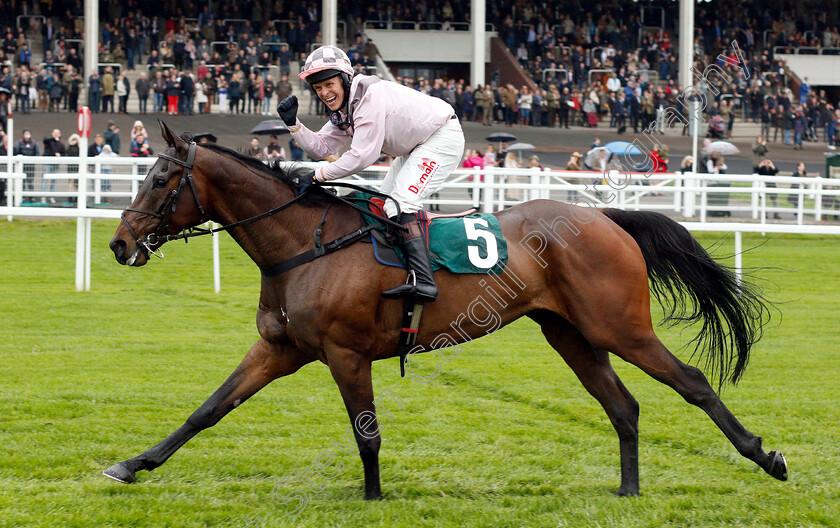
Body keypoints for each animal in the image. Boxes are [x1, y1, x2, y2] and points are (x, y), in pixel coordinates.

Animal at [105, 122, 788, 500]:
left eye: (161, 180)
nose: (118, 243)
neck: (305, 243)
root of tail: (605, 217)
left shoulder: (346, 354)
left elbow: (367, 434)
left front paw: (373, 498)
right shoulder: (282, 348)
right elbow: (208, 409)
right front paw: (132, 464)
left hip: (620, 326)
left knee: (692, 382)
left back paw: (766, 456)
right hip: (570, 334)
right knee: (623, 406)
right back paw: (628, 489)